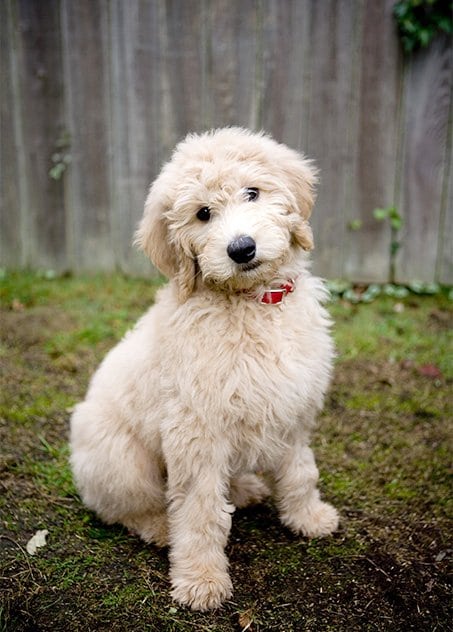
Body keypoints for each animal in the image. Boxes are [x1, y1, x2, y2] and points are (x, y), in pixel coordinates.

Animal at [69, 127, 340, 612]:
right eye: (203, 214)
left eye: (253, 193)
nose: (242, 248)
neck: (253, 304)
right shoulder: (196, 432)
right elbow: (199, 513)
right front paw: (200, 581)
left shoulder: (294, 411)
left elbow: (301, 472)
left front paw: (308, 517)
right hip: (120, 459)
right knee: (129, 509)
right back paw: (160, 528)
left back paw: (245, 488)